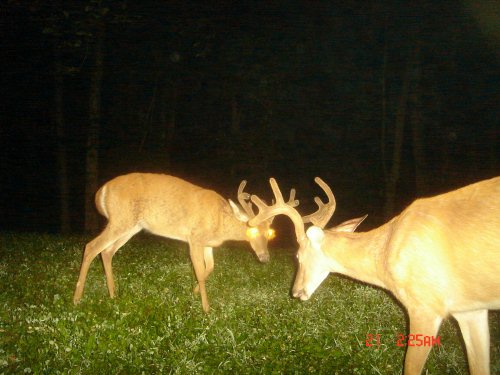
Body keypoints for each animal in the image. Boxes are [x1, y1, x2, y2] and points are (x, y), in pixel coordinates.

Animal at [72, 174, 294, 314]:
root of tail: (101, 191)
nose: (264, 257)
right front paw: (206, 309)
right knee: (91, 246)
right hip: (121, 219)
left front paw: (193, 293)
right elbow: (200, 271)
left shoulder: (208, 244)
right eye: (252, 231)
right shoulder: (194, 238)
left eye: (270, 233)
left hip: (131, 225)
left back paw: (112, 295)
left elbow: (209, 268)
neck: (220, 222)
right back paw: (77, 298)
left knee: (107, 251)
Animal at [249, 177, 500, 375]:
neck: (386, 252)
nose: (295, 291)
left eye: (298, 256)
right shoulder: (470, 310)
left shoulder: (426, 306)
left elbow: (410, 367)